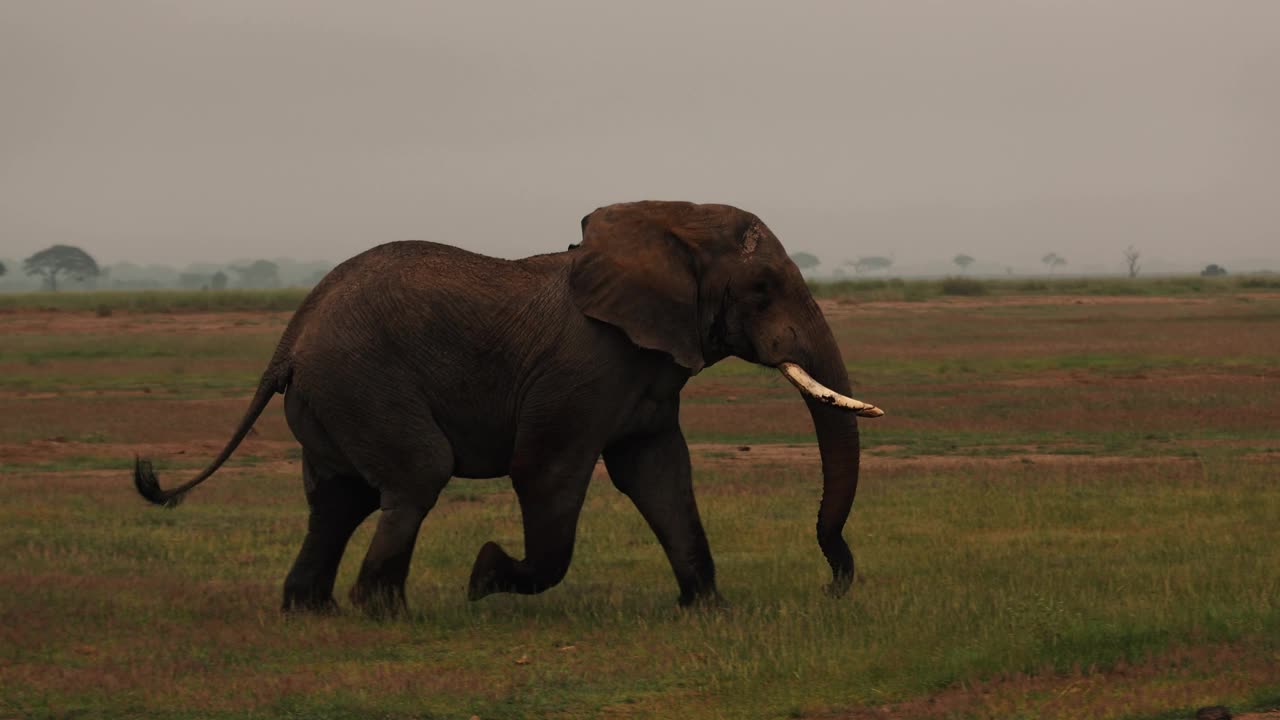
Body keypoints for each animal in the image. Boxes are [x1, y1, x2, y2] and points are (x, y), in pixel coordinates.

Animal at [135, 199, 885, 609]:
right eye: (762, 289)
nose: (832, 587)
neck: (667, 224)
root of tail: (289, 338)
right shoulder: (582, 368)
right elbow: (546, 473)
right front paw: (485, 574)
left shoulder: (647, 373)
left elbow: (659, 474)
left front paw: (708, 610)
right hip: (361, 383)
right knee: (416, 474)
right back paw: (383, 611)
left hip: (329, 401)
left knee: (338, 499)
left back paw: (313, 611)